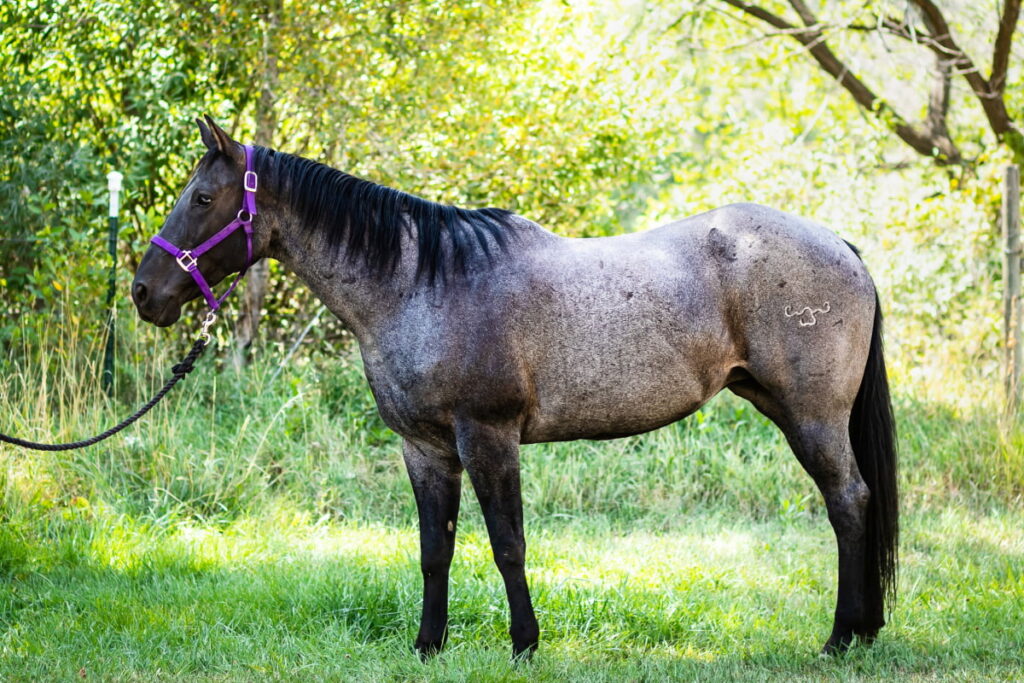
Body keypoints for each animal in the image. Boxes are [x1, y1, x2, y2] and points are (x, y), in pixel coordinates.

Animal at [134, 120, 897, 659]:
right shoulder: (424, 448)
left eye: (203, 198)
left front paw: (525, 644)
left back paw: (842, 637)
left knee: (849, 503)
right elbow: (434, 549)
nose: (145, 293)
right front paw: (428, 645)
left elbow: (508, 543)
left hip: (811, 418)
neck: (423, 283)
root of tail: (842, 246)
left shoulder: (488, 435)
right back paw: (861, 632)